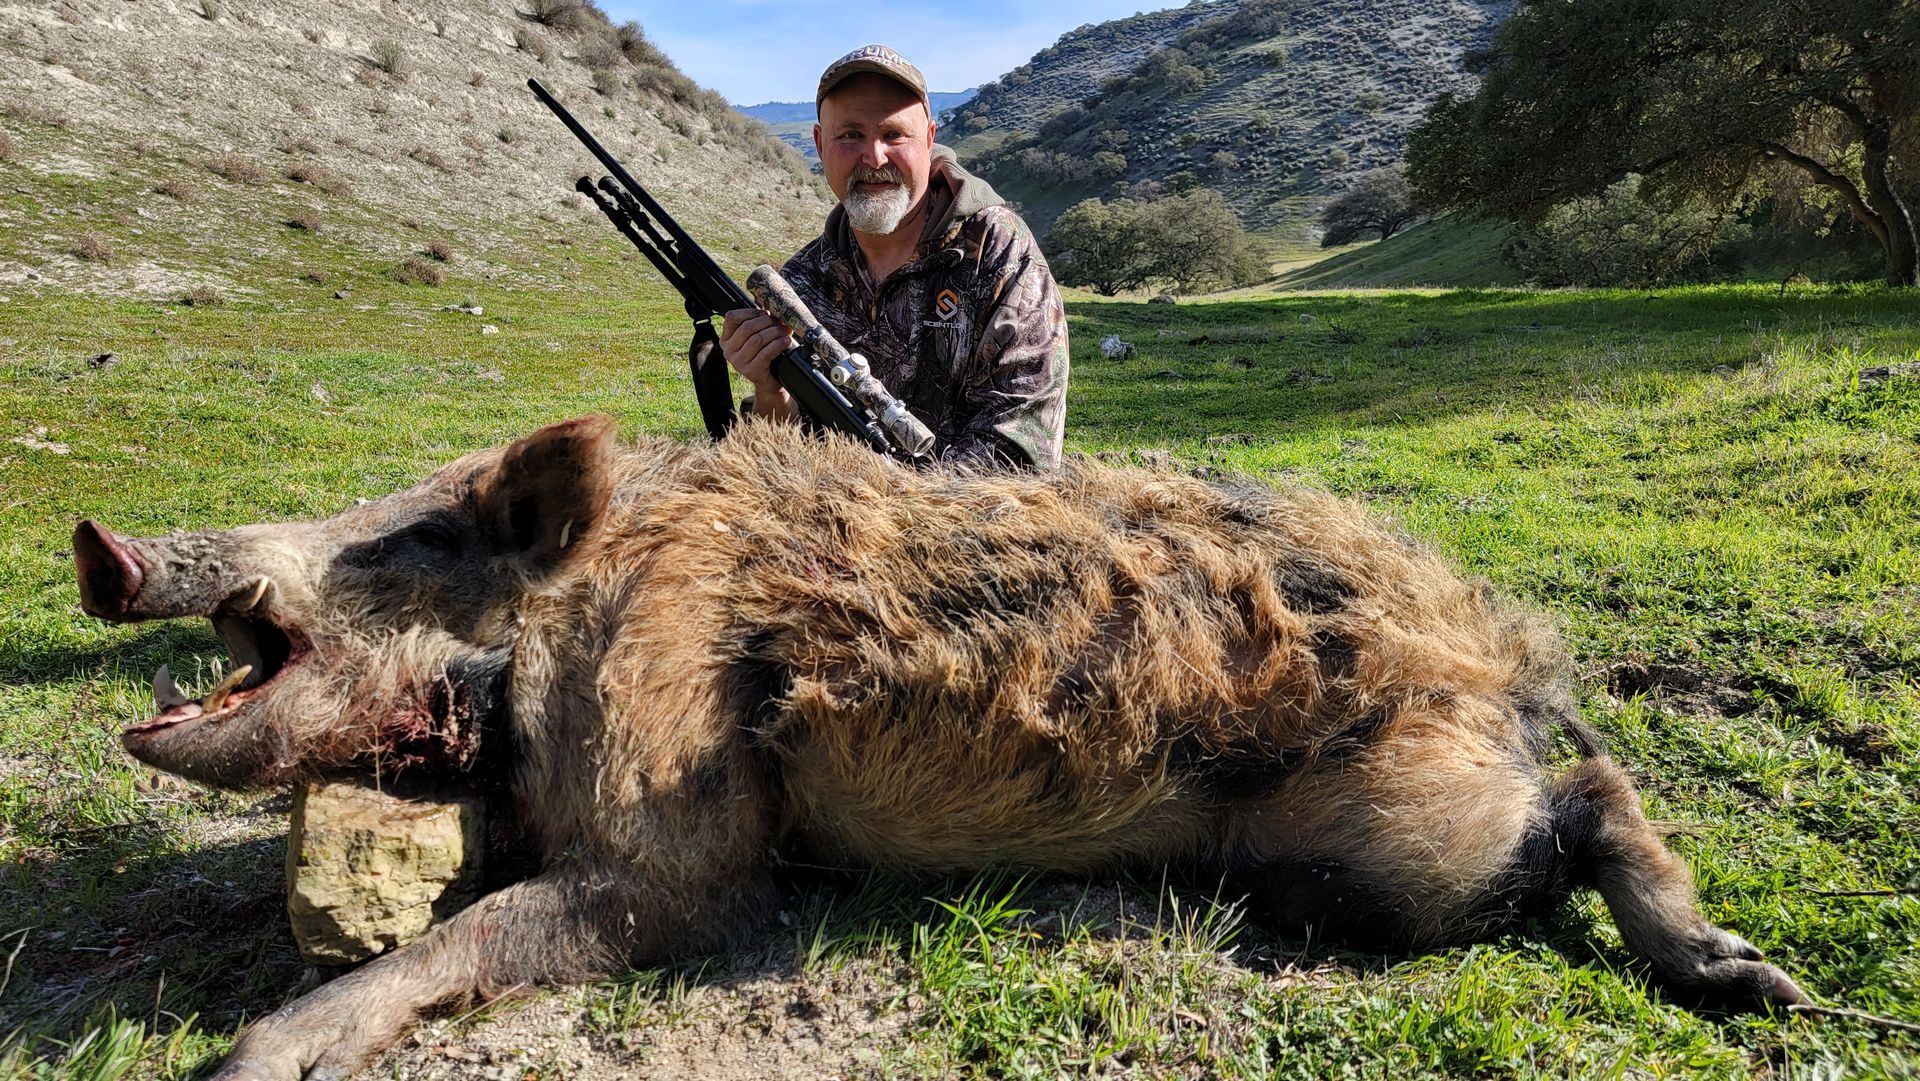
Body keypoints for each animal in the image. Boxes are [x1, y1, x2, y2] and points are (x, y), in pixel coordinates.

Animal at [72, 416, 1804, 1080]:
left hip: (1391, 843)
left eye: (428, 533)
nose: (102, 541)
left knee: (1586, 801)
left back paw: (1759, 985)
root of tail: (1499, 651)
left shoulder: (686, 837)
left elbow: (498, 932)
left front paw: (247, 1060)